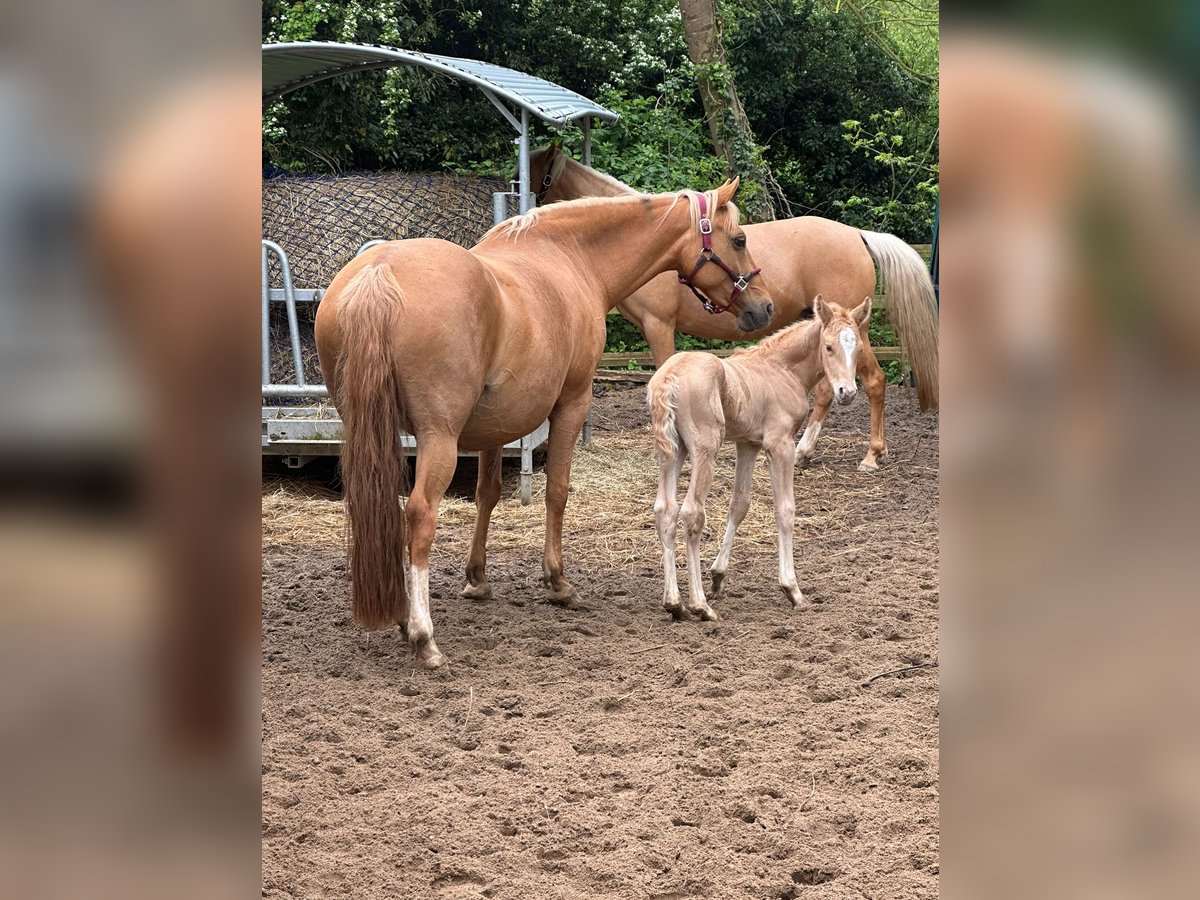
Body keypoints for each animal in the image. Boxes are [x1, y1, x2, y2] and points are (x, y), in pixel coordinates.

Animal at [314, 181, 772, 672]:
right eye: (739, 239)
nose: (765, 307)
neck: (571, 256)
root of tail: (378, 272)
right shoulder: (571, 403)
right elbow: (557, 490)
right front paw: (558, 582)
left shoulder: (495, 425)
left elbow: (488, 493)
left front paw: (477, 579)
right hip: (439, 439)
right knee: (418, 516)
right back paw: (422, 635)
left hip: (371, 434)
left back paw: (402, 617)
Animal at [532, 142, 936, 472]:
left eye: (541, 176)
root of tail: (856, 234)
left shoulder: (658, 325)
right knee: (826, 391)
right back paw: (805, 451)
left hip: (854, 328)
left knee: (874, 382)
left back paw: (870, 455)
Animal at [648, 296, 873, 619]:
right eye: (829, 347)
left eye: (858, 348)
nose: (847, 392)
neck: (781, 370)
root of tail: (669, 376)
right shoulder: (780, 445)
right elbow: (785, 510)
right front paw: (792, 589)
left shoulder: (748, 444)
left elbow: (739, 505)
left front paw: (718, 576)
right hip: (705, 448)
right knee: (692, 512)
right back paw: (700, 605)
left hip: (673, 451)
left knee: (665, 510)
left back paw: (674, 603)